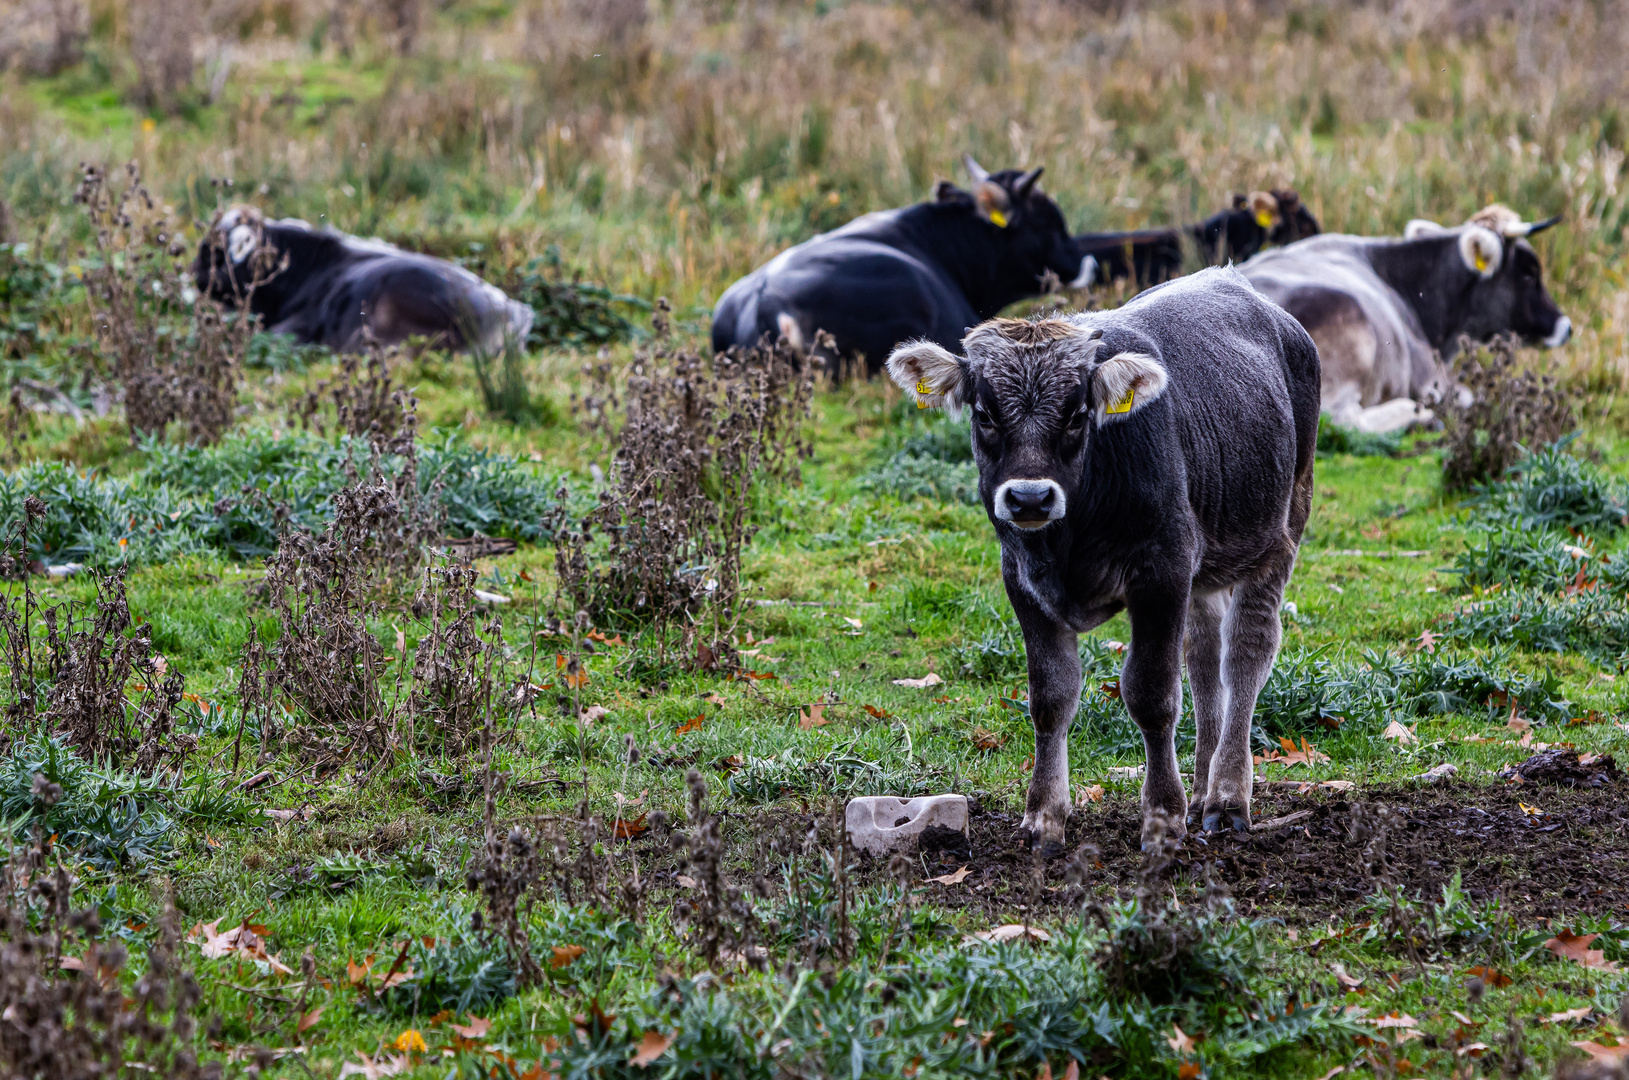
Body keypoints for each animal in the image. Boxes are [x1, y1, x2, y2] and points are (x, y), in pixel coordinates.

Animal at [892, 270, 1322, 853]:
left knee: (1246, 653)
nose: (1030, 498)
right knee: (1203, 657)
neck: (1069, 542)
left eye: (1077, 415)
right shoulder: (1023, 582)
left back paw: (1227, 797)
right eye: (984, 414)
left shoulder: (1161, 572)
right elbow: (1051, 698)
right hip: (1205, 566)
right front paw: (1044, 816)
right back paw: (1202, 791)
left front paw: (1161, 816)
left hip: (1281, 532)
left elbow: (1151, 694)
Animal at [1238, 205, 1570, 433]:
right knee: (1344, 420)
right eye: (1529, 272)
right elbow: (1471, 397)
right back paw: (1419, 415)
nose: (1565, 327)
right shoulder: (1430, 377)